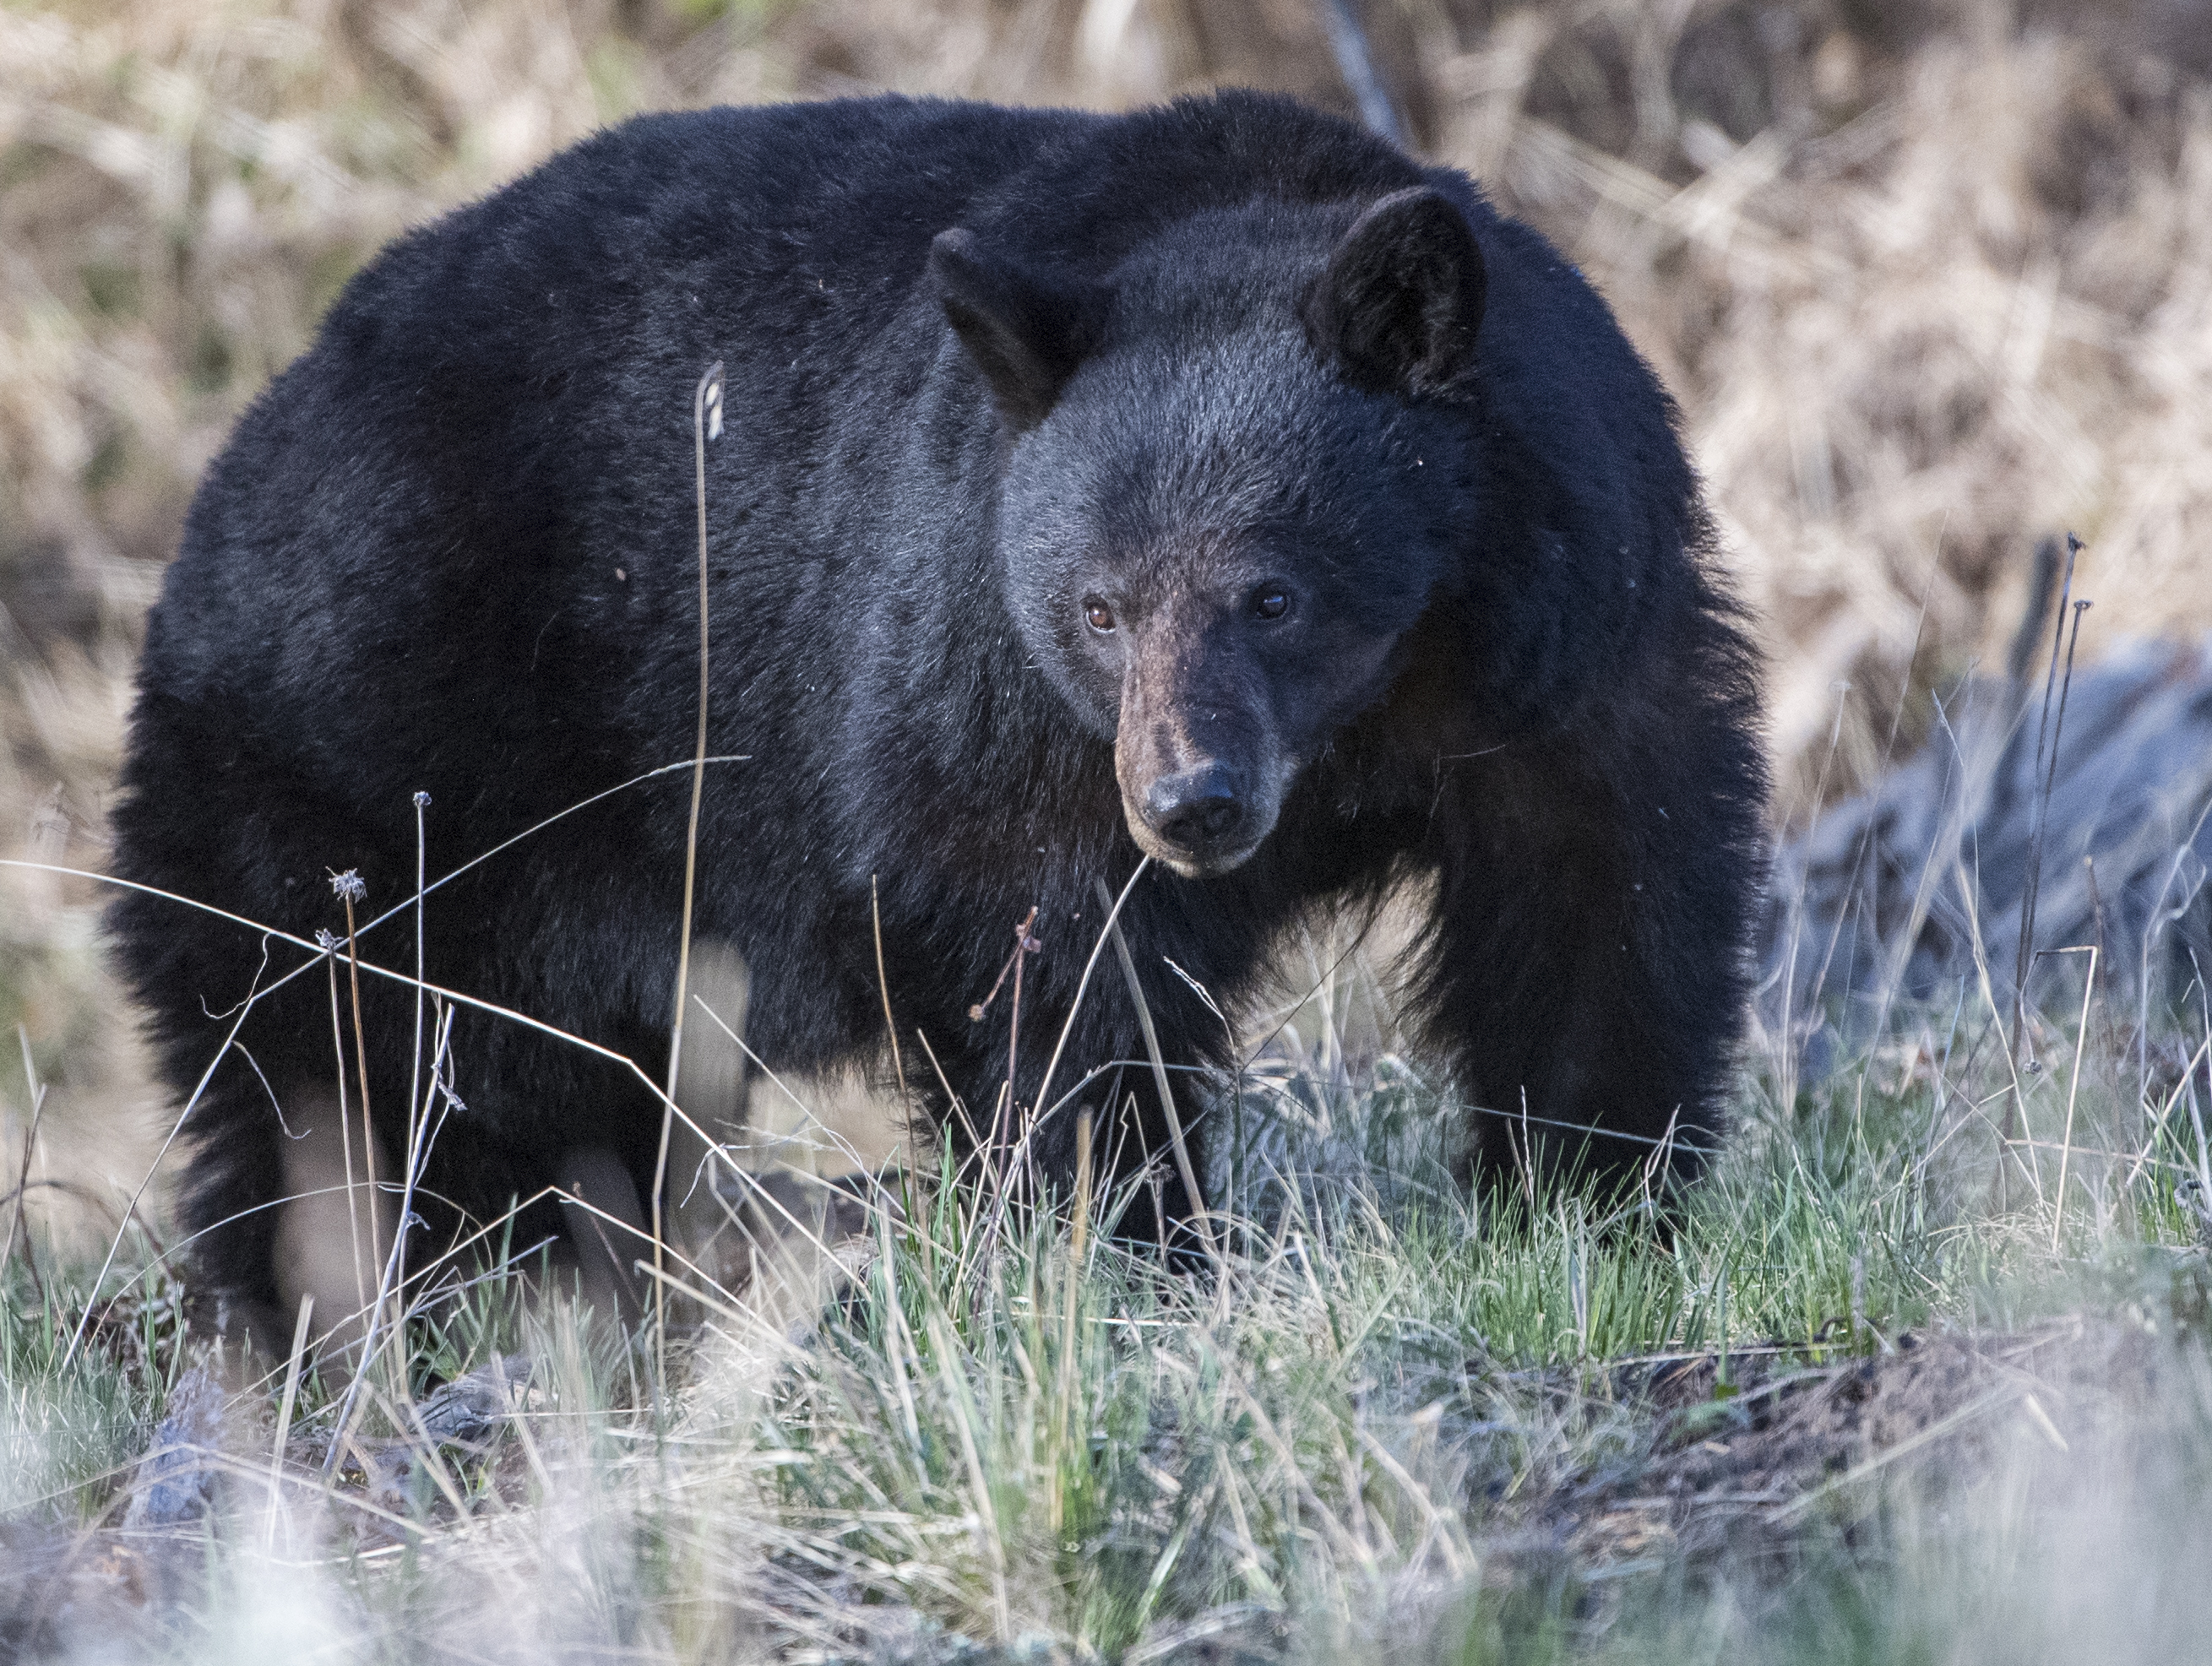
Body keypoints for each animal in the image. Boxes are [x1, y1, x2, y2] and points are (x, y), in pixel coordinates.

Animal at [111, 88, 1760, 1336]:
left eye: (1270, 593)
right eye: (1097, 607)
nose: (1193, 805)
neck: (1378, 708)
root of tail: (231, 474)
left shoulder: (1571, 639)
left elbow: (1597, 902)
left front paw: (1595, 1199)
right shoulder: (987, 689)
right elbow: (1060, 972)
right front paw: (1117, 1246)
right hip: (374, 789)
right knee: (350, 1080)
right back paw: (354, 1322)